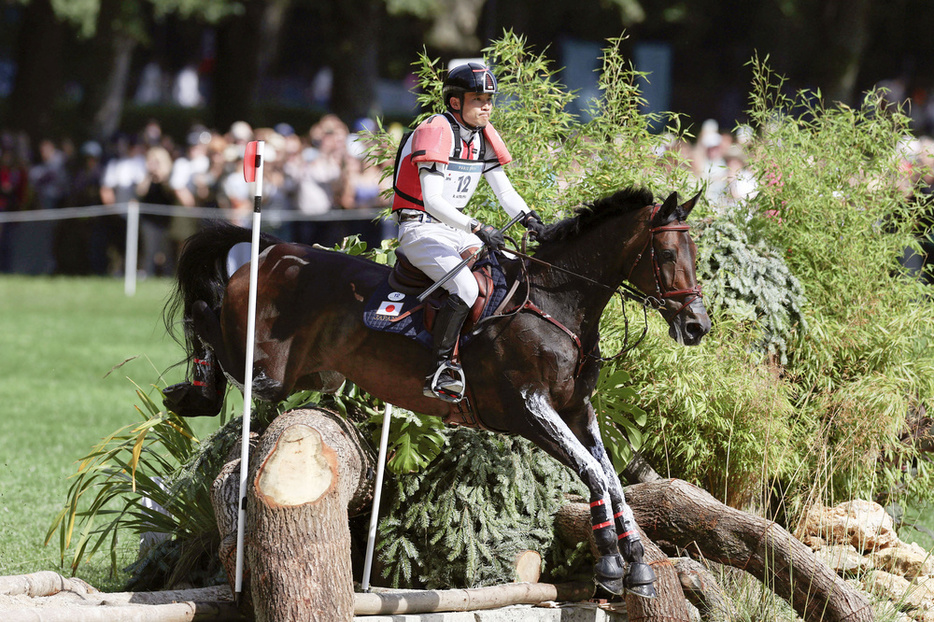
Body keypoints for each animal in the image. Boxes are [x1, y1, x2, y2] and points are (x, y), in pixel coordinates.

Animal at [165, 186, 712, 600]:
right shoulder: (528, 410)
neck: (556, 302)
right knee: (202, 310)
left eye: (695, 256)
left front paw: (636, 564)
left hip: (309, 376)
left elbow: (612, 479)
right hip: (264, 366)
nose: (697, 326)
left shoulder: (578, 410)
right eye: (667, 255)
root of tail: (276, 251)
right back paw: (193, 391)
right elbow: (596, 475)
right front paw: (612, 569)